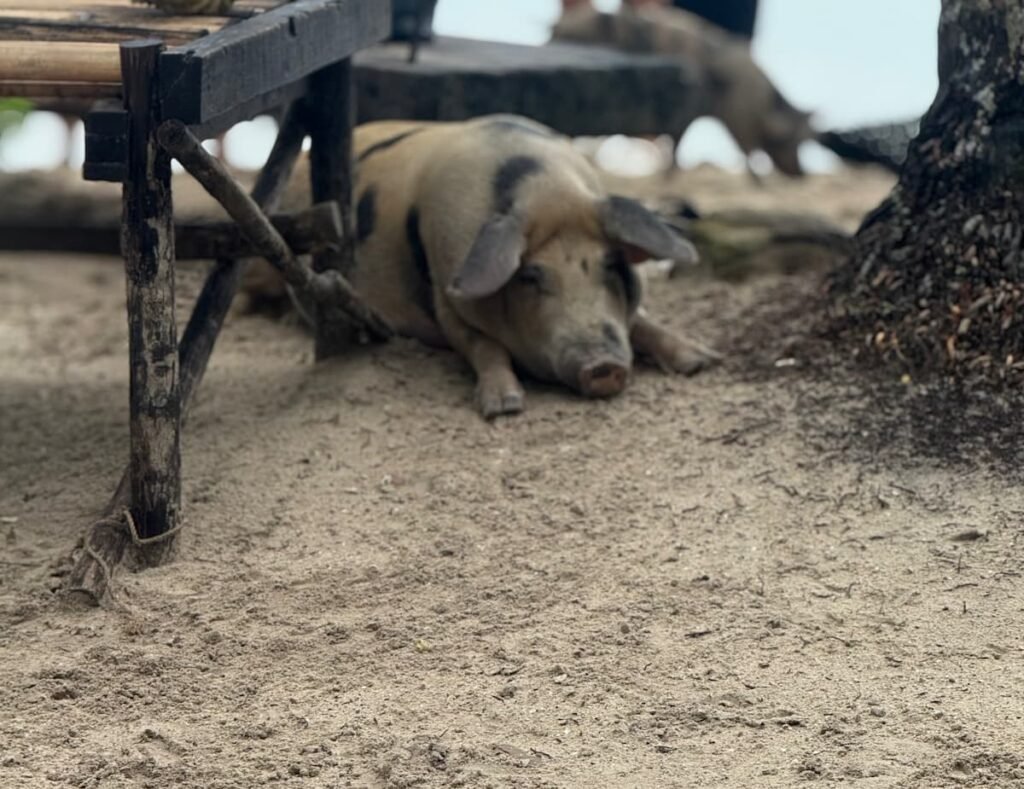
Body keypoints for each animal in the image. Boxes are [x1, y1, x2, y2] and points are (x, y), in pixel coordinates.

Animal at [251, 115, 719, 419]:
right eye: (530, 276)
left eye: (609, 265)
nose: (603, 367)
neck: (543, 190)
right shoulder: (447, 299)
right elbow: (484, 346)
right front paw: (503, 408)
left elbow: (643, 322)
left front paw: (703, 362)